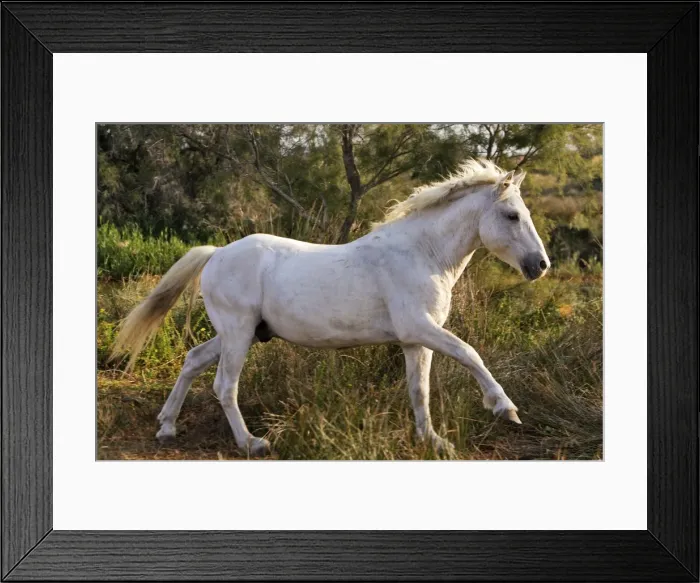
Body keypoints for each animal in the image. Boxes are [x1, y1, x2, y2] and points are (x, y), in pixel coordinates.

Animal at [111, 159, 550, 457]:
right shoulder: (421, 328)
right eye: (512, 215)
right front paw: (505, 408)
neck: (423, 254)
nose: (541, 266)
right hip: (237, 334)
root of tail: (217, 253)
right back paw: (252, 443)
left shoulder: (414, 340)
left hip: (238, 333)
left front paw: (434, 441)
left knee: (193, 359)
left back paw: (167, 427)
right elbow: (470, 354)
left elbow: (419, 390)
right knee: (224, 386)